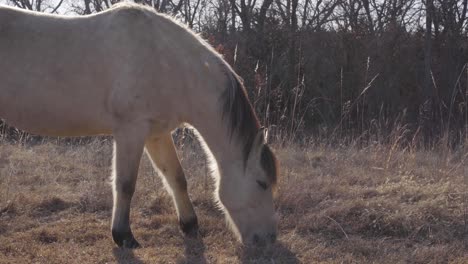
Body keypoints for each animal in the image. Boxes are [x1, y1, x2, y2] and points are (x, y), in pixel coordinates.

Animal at [0, 3, 278, 249]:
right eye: (262, 183)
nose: (268, 240)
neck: (166, 60)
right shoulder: (130, 130)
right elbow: (125, 184)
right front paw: (124, 237)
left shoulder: (157, 133)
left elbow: (176, 178)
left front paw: (190, 226)